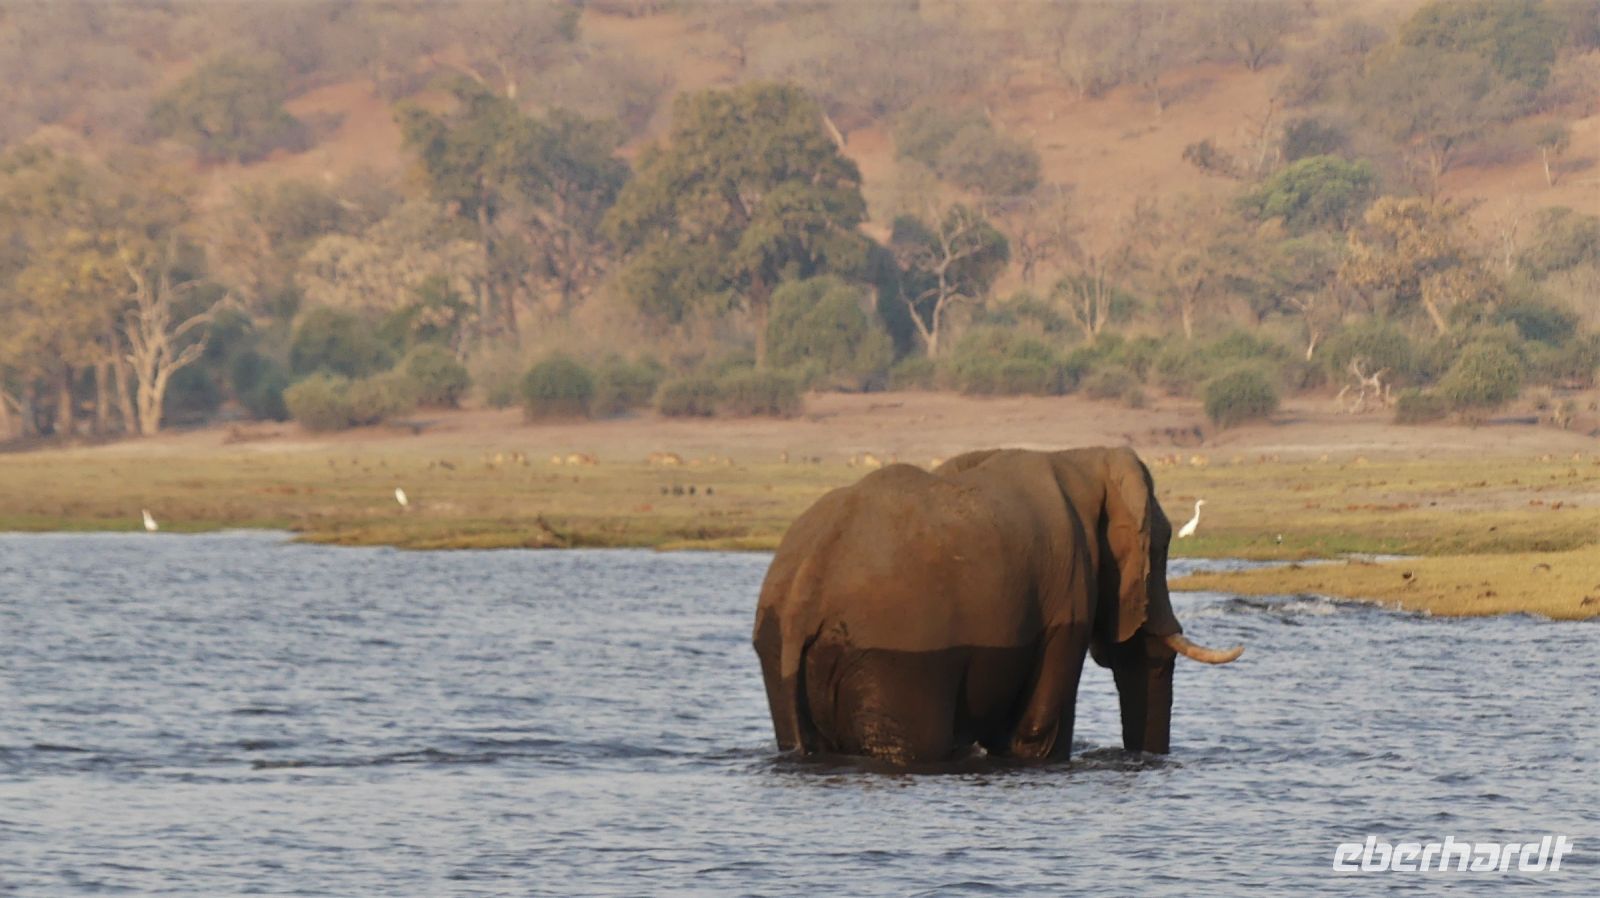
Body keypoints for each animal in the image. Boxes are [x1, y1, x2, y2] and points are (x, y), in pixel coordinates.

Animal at [752, 446, 1243, 765]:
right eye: (1162, 546)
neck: (1082, 457)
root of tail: (804, 590)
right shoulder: (1068, 590)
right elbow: (1038, 725)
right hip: (891, 658)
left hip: (777, 652)